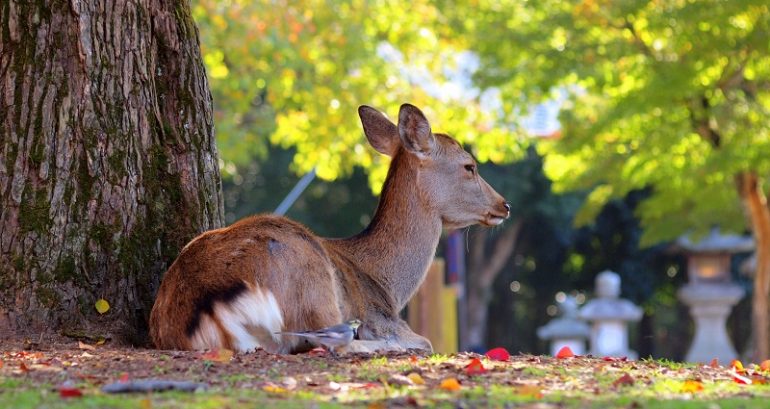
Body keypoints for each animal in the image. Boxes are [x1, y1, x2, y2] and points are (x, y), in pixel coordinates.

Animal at [149, 104, 510, 354]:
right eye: (469, 166)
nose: (504, 205)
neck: (387, 286)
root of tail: (206, 308)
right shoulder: (382, 318)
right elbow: (426, 340)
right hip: (313, 283)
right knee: (332, 341)